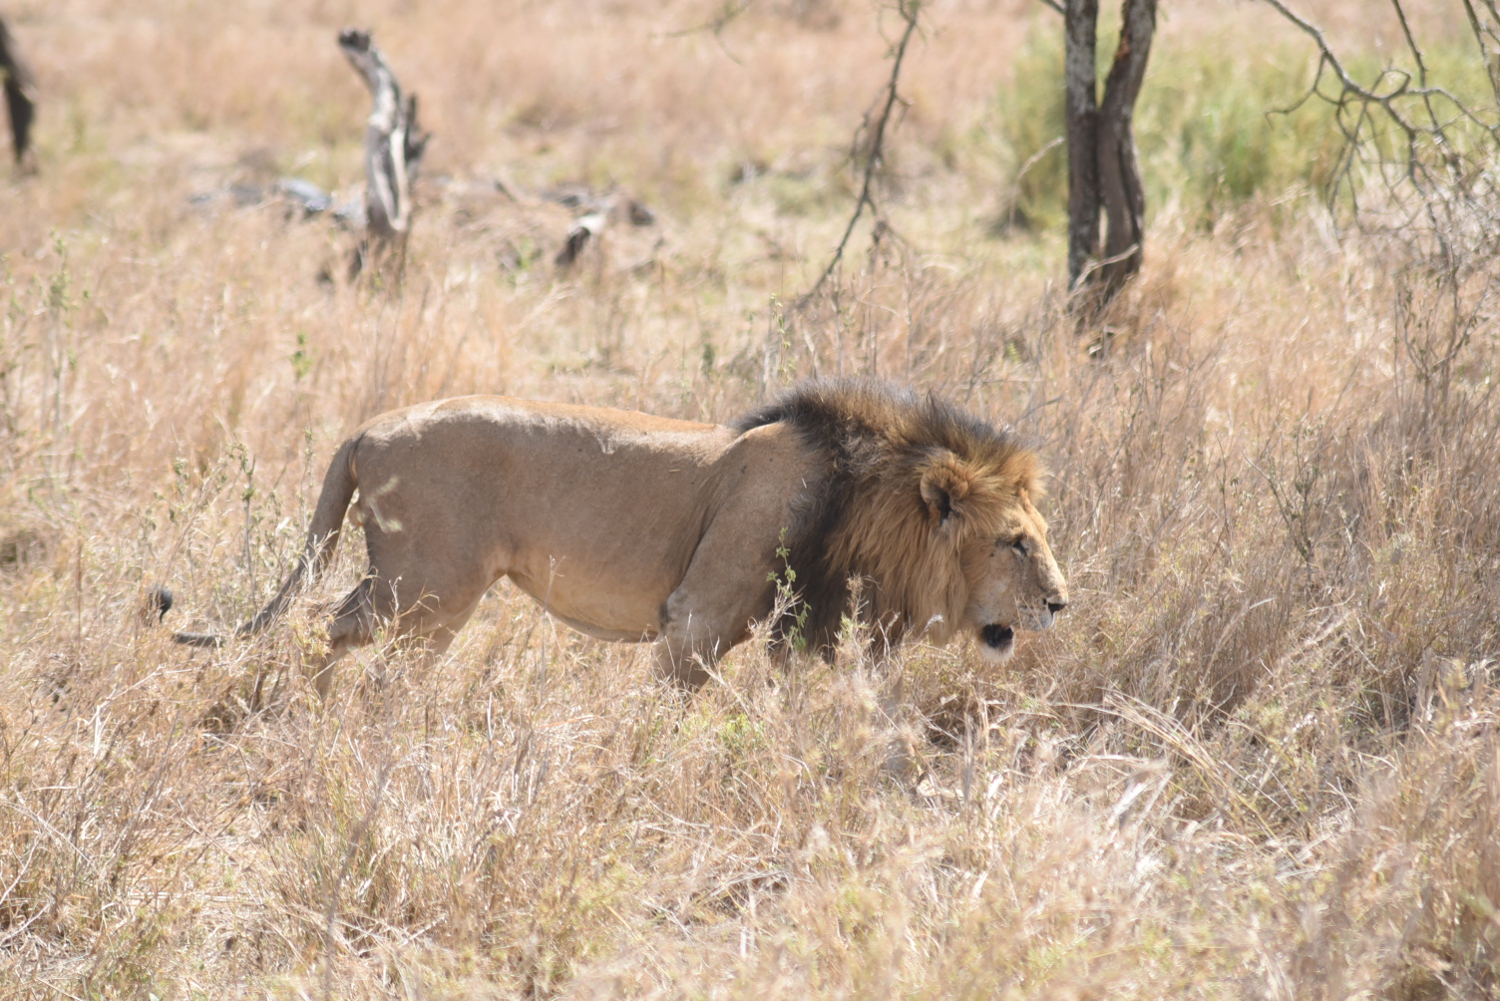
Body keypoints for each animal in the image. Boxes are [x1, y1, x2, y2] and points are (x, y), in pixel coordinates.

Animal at [161, 379, 1068, 693]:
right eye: (1015, 541)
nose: (1062, 604)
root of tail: (368, 427)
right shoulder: (697, 618)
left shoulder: (805, 627)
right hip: (428, 581)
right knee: (333, 624)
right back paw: (320, 717)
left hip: (426, 594)